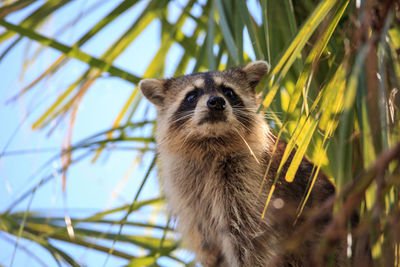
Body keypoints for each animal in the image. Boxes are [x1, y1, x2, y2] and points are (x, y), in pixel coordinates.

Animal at [139, 61, 340, 266]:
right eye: (192, 95)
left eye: (228, 92)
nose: (216, 102)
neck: (212, 143)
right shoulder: (188, 195)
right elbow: (207, 242)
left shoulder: (249, 181)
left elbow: (249, 240)